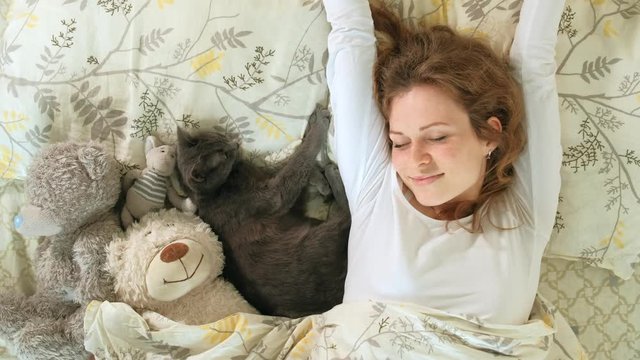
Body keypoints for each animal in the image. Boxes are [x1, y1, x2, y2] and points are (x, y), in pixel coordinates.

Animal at [176, 105, 350, 318]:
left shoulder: (270, 180)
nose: (235, 144)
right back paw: (335, 175)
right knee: (348, 214)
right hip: (319, 241)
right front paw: (318, 125)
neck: (221, 187)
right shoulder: (275, 197)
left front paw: (320, 180)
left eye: (221, 137)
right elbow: (298, 162)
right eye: (223, 155)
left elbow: (293, 164)